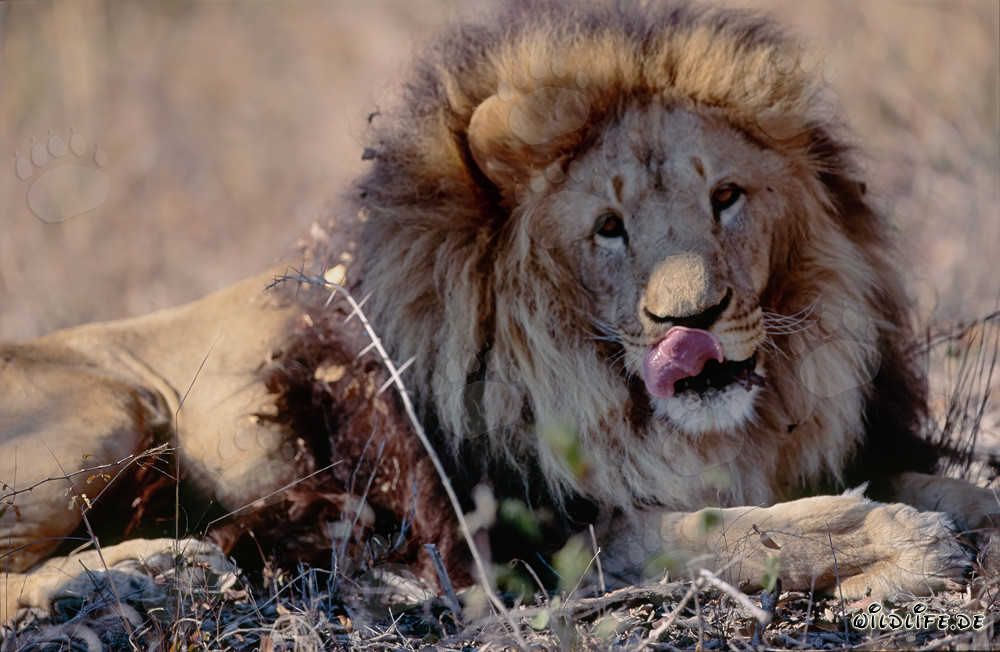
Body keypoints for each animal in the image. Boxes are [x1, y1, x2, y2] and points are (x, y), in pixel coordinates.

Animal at [2, 1, 998, 624]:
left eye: (726, 198)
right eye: (607, 228)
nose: (695, 321)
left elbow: (951, 487)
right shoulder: (529, 541)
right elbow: (726, 531)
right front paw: (899, 543)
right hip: (110, 407)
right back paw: (122, 579)